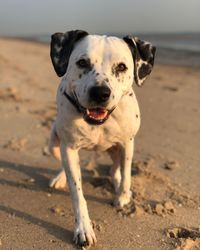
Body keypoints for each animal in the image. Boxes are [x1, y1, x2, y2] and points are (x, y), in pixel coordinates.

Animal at [48, 30, 156, 247]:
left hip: (116, 150)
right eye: (82, 62)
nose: (100, 92)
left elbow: (127, 176)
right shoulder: (69, 147)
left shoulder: (127, 143)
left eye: (121, 67)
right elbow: (77, 194)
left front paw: (122, 197)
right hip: (54, 142)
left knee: (117, 169)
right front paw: (83, 229)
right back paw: (60, 178)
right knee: (64, 164)